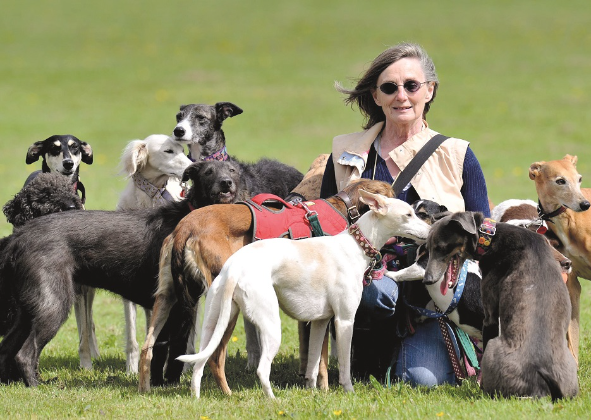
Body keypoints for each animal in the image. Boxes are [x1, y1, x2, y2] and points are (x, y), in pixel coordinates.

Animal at [138, 178, 396, 394]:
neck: (345, 207)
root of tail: (185, 226)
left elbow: (315, 355)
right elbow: (321, 357)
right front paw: (323, 389)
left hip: (166, 298)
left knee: (146, 349)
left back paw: (145, 389)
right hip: (227, 307)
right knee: (215, 356)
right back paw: (229, 394)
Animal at [176, 192, 430, 398]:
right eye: (408, 214)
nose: (430, 232)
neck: (356, 246)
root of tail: (234, 268)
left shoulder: (320, 322)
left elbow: (314, 363)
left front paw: (313, 390)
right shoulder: (344, 321)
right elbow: (345, 366)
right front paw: (348, 391)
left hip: (214, 321)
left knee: (200, 364)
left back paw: (197, 397)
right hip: (269, 325)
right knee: (261, 369)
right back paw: (273, 400)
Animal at [424, 212, 580, 402]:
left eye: (440, 247)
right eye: (428, 247)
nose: (427, 279)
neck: (492, 236)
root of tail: (542, 388)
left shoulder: (490, 316)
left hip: (493, 346)